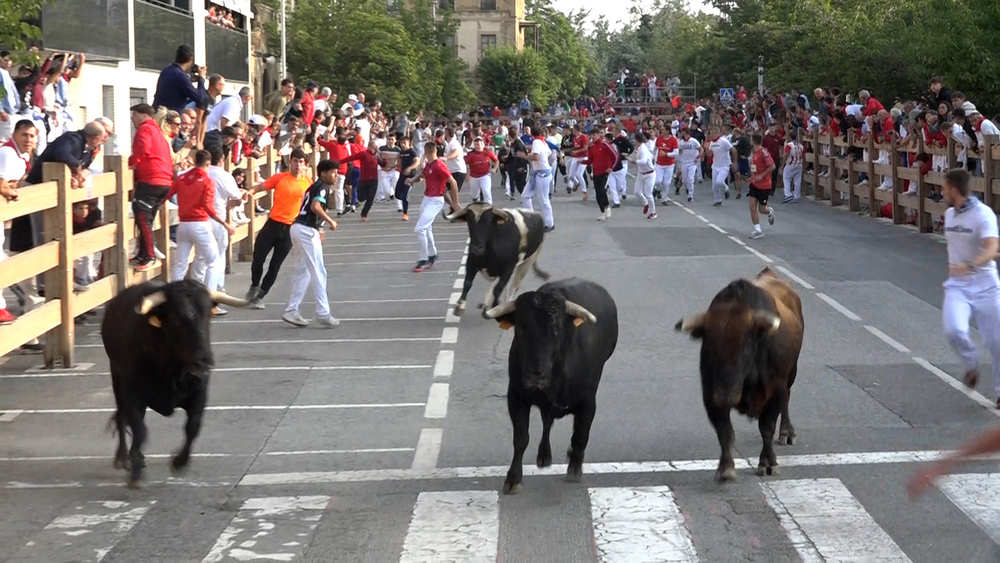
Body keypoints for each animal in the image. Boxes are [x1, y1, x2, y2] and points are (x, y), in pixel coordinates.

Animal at [101, 282, 248, 490]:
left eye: (208, 316)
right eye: (178, 320)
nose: (204, 361)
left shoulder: (199, 392)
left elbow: (192, 427)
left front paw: (179, 461)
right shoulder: (131, 393)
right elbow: (139, 429)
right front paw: (135, 474)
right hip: (117, 379)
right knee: (122, 417)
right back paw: (123, 457)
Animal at [672, 266, 804, 482]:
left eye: (746, 345)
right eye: (708, 344)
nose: (725, 395)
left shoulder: (776, 390)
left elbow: (766, 428)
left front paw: (768, 463)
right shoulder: (710, 395)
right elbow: (724, 431)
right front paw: (725, 467)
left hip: (791, 373)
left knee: (787, 399)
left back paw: (787, 432)